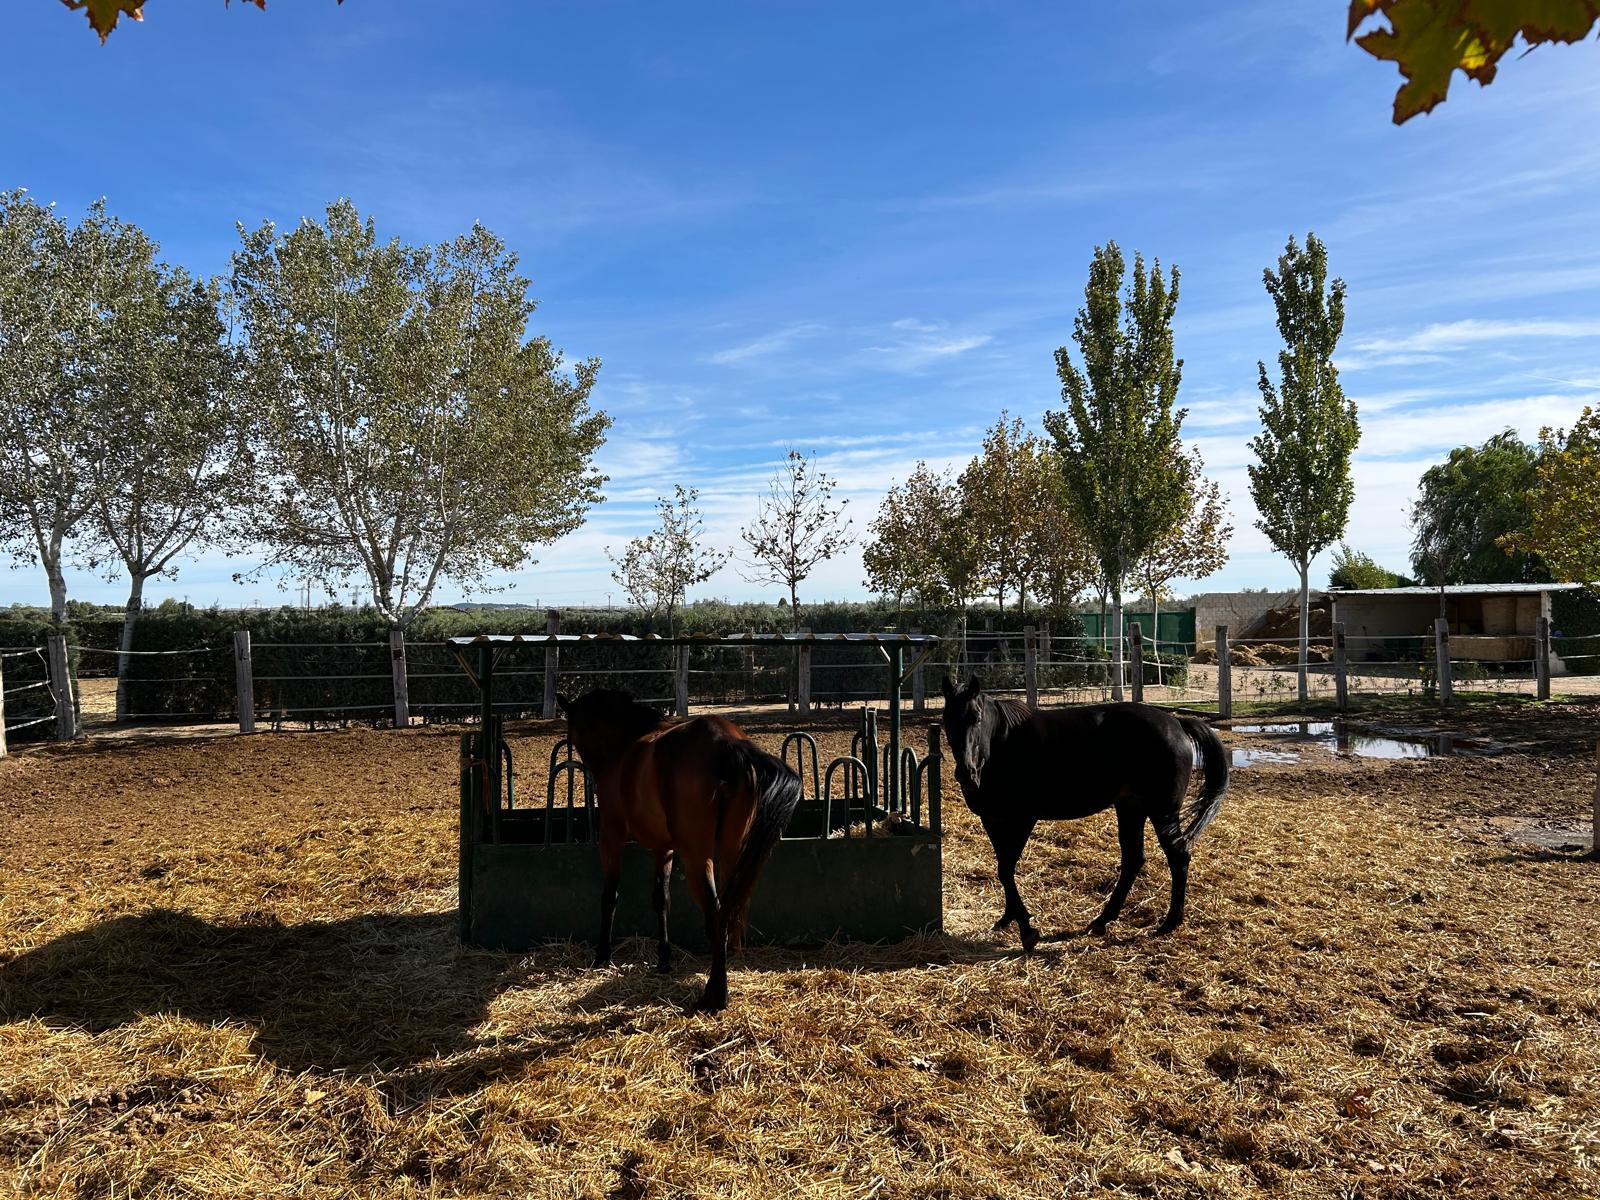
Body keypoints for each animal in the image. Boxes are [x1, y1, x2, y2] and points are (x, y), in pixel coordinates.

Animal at [557, 688, 802, 1012]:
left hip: (698, 855)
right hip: (730, 851)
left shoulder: (611, 838)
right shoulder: (664, 850)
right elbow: (661, 900)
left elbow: (610, 897)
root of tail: (729, 745)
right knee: (729, 907)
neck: (623, 748)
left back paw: (715, 994)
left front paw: (602, 955)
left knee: (715, 912)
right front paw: (663, 960)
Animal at [940, 674, 1229, 951]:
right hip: (1131, 807)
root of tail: (1177, 723)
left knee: (1178, 856)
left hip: (1163, 811)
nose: (967, 774)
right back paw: (1103, 920)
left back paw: (1169, 922)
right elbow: (1003, 868)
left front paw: (1027, 930)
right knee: (1133, 859)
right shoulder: (992, 819)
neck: (1002, 743)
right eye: (946, 720)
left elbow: (1006, 868)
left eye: (976, 718)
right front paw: (1007, 918)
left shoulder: (1023, 818)